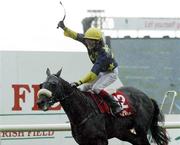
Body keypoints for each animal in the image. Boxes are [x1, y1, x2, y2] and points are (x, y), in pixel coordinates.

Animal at [36, 68, 169, 145]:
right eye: (41, 84)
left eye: (53, 84)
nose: (40, 102)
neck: (83, 110)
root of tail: (147, 97)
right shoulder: (83, 142)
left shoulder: (101, 140)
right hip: (122, 132)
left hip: (141, 129)